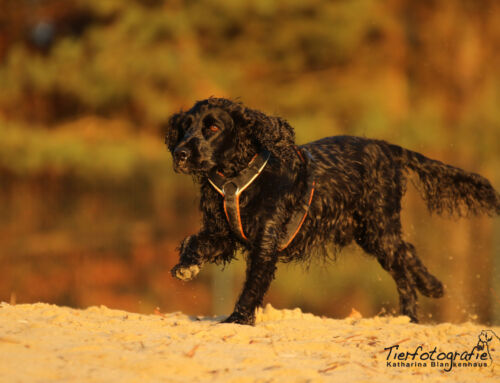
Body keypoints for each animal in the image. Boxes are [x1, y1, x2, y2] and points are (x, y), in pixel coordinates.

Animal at [165, 97, 500, 326]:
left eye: (213, 127)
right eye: (185, 127)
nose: (180, 154)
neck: (237, 178)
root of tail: (387, 148)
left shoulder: (265, 241)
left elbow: (253, 284)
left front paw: (239, 318)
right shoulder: (224, 232)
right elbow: (195, 242)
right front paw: (186, 267)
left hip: (380, 227)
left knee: (405, 261)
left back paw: (423, 299)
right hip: (371, 234)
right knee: (405, 260)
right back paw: (419, 302)